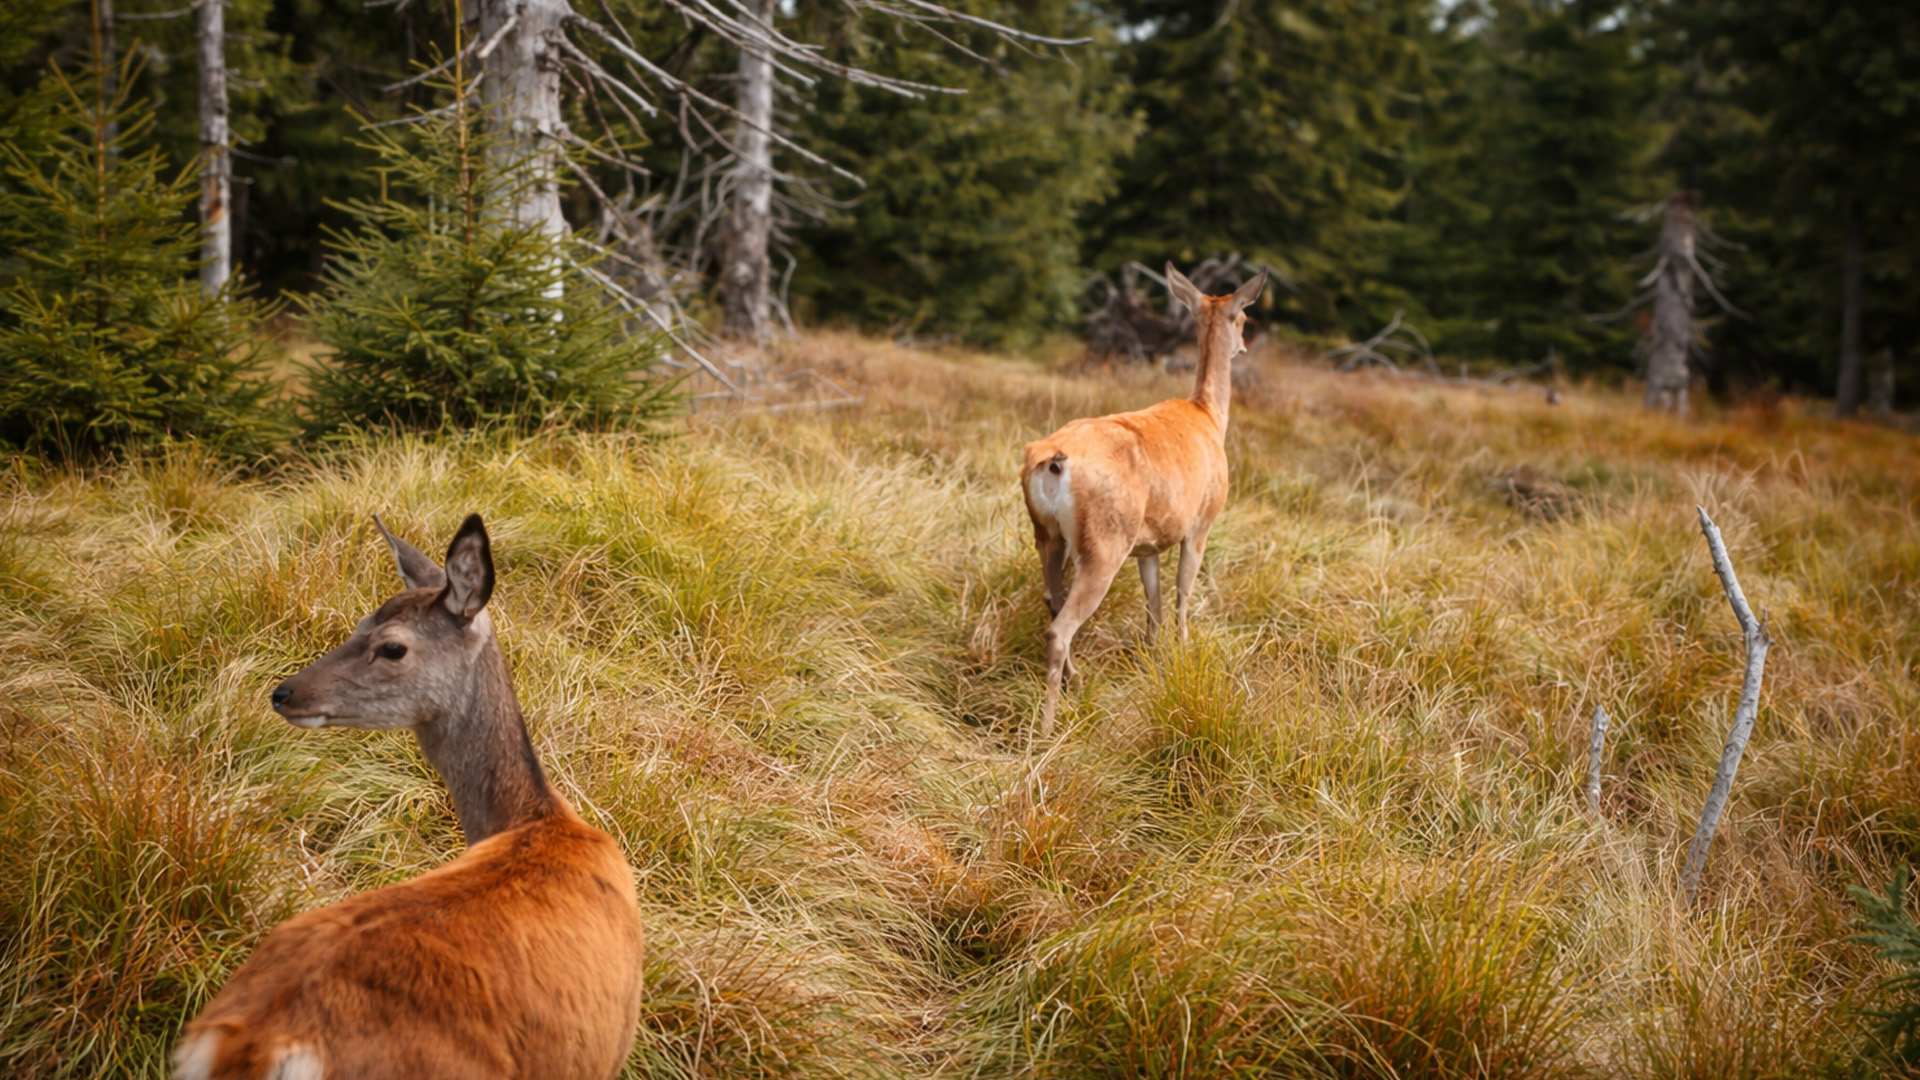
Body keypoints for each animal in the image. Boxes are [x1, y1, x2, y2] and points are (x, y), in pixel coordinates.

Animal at [174, 514, 644, 1080]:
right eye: (358, 626)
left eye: (391, 646)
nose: (284, 692)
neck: (539, 819)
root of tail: (252, 1045)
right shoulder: (608, 1052)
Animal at [1021, 263, 1267, 737]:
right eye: (1244, 317)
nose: (1245, 345)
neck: (1209, 415)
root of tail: (1051, 460)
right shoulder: (1201, 522)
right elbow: (1182, 594)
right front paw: (1182, 654)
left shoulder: (1148, 544)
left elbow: (1153, 604)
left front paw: (1153, 659)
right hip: (1104, 543)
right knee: (1060, 630)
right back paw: (1046, 730)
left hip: (1047, 534)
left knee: (1051, 601)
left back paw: (1078, 685)